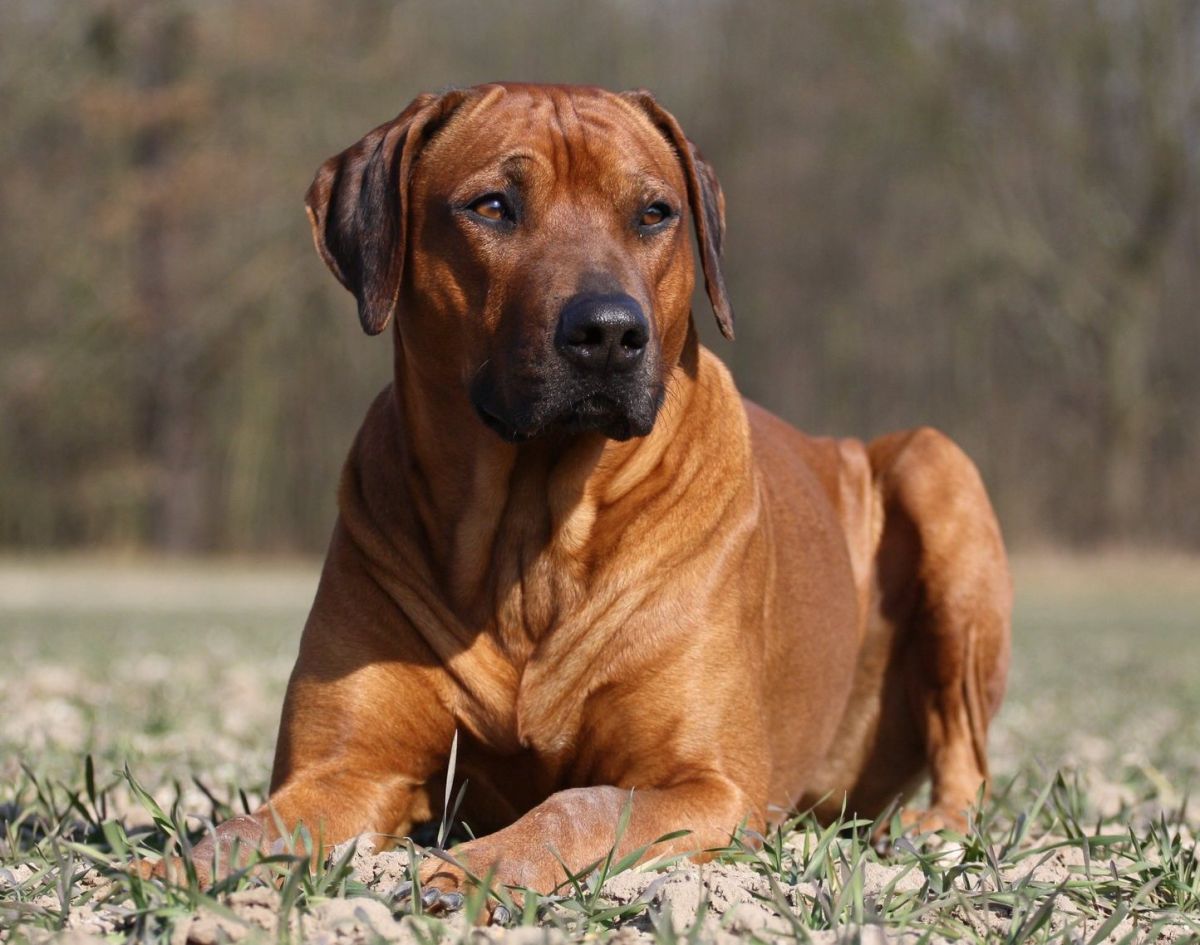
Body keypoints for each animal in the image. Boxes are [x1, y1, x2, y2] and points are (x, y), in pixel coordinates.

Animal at [154, 83, 1008, 921]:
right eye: (494, 205)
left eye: (655, 212)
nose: (608, 332)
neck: (530, 533)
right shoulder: (348, 766)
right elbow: (257, 823)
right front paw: (180, 871)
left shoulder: (715, 784)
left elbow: (583, 802)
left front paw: (477, 867)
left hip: (939, 468)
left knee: (966, 748)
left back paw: (932, 827)